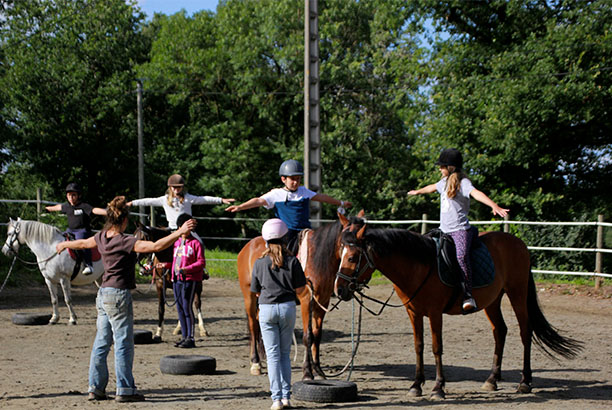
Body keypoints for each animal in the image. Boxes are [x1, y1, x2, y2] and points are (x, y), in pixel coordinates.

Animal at [238, 211, 364, 378]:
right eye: (344, 241)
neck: (317, 260)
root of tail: (247, 246)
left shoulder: (322, 302)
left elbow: (317, 335)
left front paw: (318, 370)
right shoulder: (307, 300)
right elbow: (308, 336)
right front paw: (307, 372)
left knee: (259, 322)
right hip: (250, 297)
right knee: (253, 325)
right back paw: (256, 363)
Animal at [334, 216, 584, 398]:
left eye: (353, 257)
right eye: (340, 253)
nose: (339, 289)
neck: (419, 264)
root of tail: (518, 243)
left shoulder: (435, 313)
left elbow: (436, 347)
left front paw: (438, 388)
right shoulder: (413, 312)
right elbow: (418, 346)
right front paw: (416, 385)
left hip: (517, 293)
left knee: (525, 331)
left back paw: (525, 382)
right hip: (493, 301)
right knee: (500, 331)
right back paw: (492, 380)